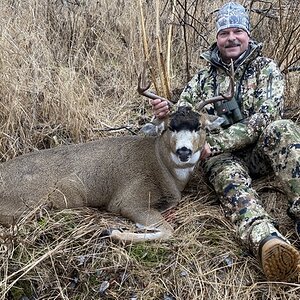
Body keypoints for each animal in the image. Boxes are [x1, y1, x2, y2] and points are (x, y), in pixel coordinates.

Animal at [0, 64, 234, 243]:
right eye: (169, 127)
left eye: (200, 127)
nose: (183, 150)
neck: (163, 167)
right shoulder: (129, 199)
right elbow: (168, 230)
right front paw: (113, 231)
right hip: (36, 204)